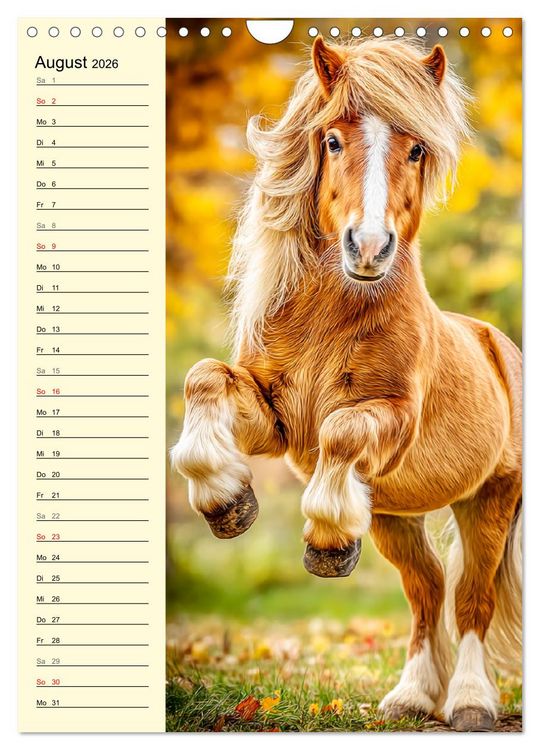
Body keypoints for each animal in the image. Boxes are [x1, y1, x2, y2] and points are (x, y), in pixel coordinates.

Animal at [170, 36, 522, 732]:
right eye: (332, 140)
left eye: (416, 148)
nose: (369, 247)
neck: (335, 315)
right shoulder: (275, 421)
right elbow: (204, 380)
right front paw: (226, 503)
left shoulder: (391, 422)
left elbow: (343, 429)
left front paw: (326, 542)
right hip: (392, 516)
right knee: (427, 590)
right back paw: (411, 697)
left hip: (491, 499)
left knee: (471, 599)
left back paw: (470, 702)